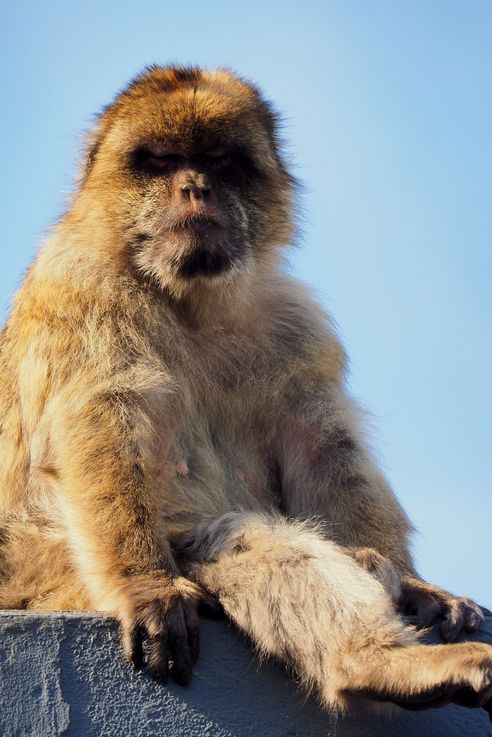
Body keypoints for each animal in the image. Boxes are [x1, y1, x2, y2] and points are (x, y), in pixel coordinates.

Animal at [0, 65, 491, 718]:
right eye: (162, 160)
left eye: (219, 161)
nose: (195, 188)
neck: (189, 297)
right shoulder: (78, 283)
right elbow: (100, 420)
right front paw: (144, 585)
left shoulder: (293, 322)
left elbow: (323, 447)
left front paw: (415, 585)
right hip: (39, 568)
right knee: (236, 539)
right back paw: (377, 662)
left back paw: (383, 640)